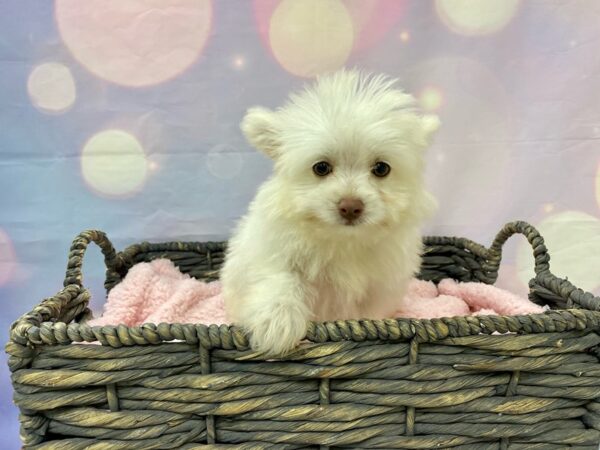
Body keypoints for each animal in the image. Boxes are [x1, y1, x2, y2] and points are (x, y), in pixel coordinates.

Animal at [223, 68, 438, 356]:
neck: (342, 241)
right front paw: (277, 324)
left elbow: (368, 313)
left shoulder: (379, 287)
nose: (351, 206)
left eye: (381, 168)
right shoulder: (273, 252)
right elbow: (281, 280)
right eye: (321, 167)